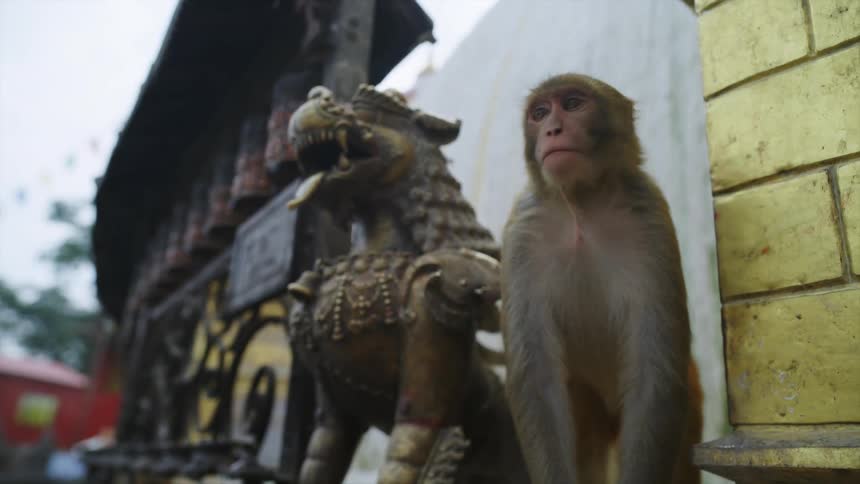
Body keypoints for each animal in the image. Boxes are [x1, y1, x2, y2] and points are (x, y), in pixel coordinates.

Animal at [500, 73, 703, 484]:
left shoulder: (649, 215)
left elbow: (654, 376)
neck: (581, 204)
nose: (552, 129)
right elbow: (537, 380)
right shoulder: (521, 230)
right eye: (539, 113)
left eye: (573, 104)